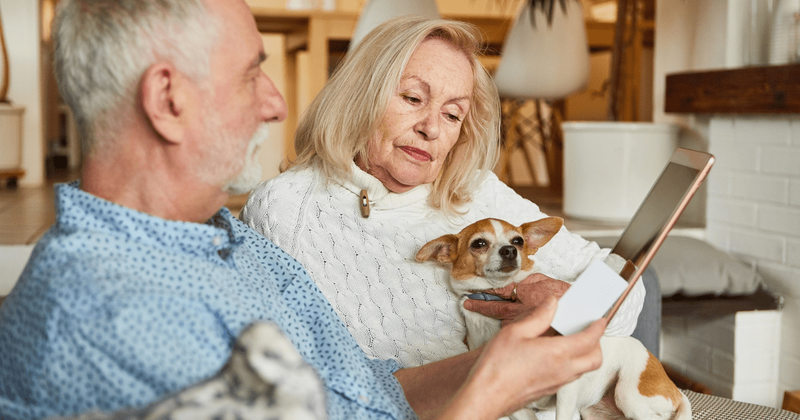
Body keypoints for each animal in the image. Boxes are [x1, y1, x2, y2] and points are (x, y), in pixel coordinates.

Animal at [416, 218, 692, 418]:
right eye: (479, 244)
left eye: (518, 240)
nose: (510, 250)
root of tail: (676, 389)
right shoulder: (513, 400)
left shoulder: (566, 388)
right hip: (594, 412)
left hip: (629, 394)